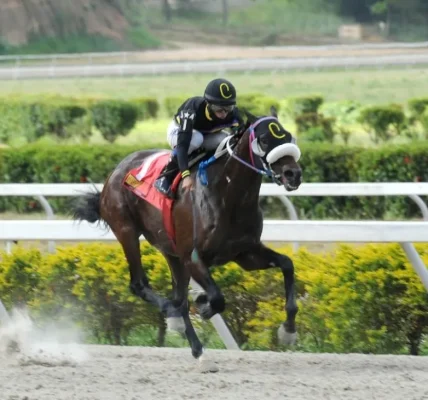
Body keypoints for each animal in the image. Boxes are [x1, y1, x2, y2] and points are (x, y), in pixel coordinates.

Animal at [72, 107, 302, 372]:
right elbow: (217, 299)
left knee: (178, 297)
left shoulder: (245, 252)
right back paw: (174, 319)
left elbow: (287, 264)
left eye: (288, 136)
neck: (229, 195)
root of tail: (113, 175)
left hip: (170, 252)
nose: (293, 174)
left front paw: (288, 331)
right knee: (143, 286)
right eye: (264, 140)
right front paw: (203, 304)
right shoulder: (193, 257)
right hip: (126, 230)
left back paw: (198, 350)